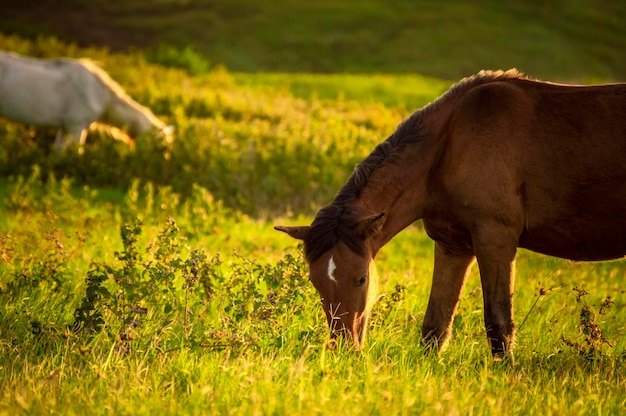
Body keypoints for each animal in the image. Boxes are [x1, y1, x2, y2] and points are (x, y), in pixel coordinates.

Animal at [276, 70, 624, 360]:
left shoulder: (495, 241)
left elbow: (498, 321)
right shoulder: (453, 246)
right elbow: (435, 325)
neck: (451, 143)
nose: (344, 348)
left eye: (361, 278)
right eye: (315, 281)